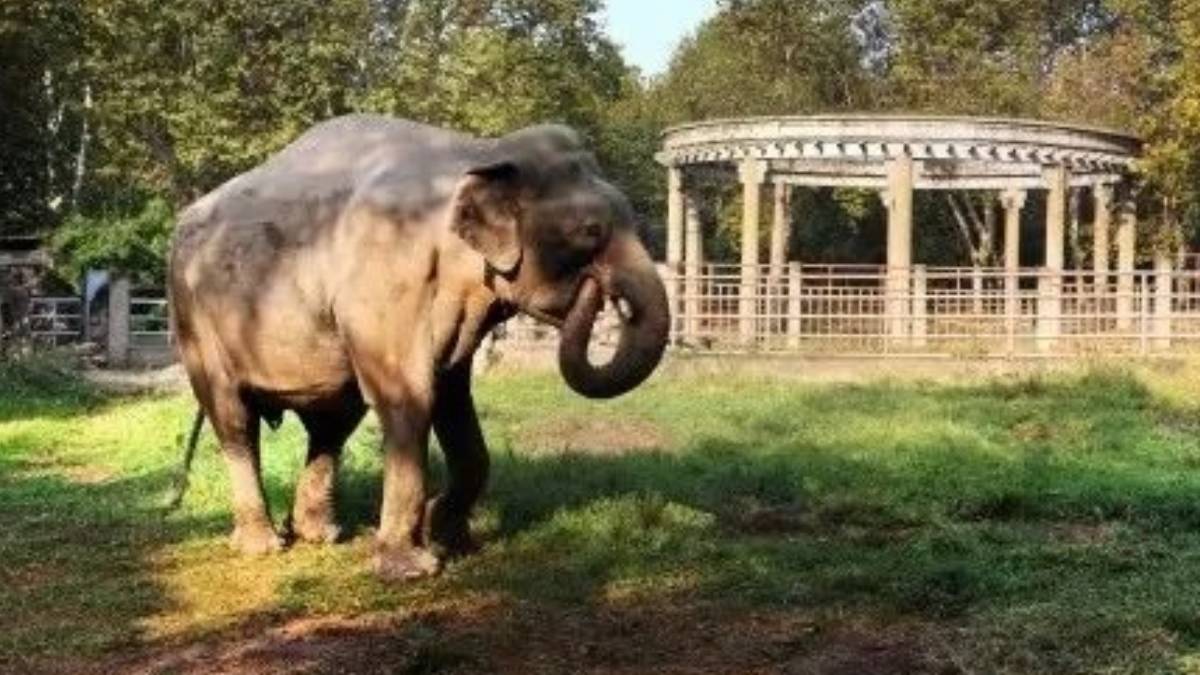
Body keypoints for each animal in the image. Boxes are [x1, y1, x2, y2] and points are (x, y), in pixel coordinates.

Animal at [167, 114, 670, 580]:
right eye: (589, 232)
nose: (601, 292)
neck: (479, 152)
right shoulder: (387, 278)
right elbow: (410, 398)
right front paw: (412, 567)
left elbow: (453, 399)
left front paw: (454, 539)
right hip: (193, 318)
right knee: (234, 420)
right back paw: (263, 546)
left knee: (332, 425)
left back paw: (321, 535)